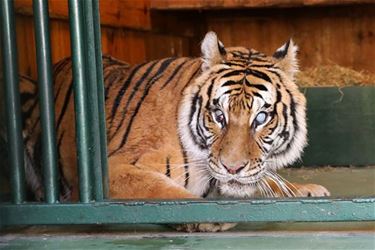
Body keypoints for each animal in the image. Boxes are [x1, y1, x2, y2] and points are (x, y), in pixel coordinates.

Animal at [13, 31, 328, 232]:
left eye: (261, 117)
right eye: (219, 115)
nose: (232, 168)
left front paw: (306, 190)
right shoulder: (111, 171)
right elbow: (163, 192)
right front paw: (210, 214)